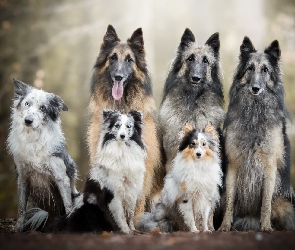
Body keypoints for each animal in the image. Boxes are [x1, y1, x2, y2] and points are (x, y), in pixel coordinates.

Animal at [220, 36, 295, 231]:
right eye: (250, 68)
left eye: (265, 70)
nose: (255, 88)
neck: (254, 113)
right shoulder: (233, 164)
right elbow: (230, 201)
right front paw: (224, 226)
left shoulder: (270, 166)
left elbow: (266, 202)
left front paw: (266, 227)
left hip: (284, 205)